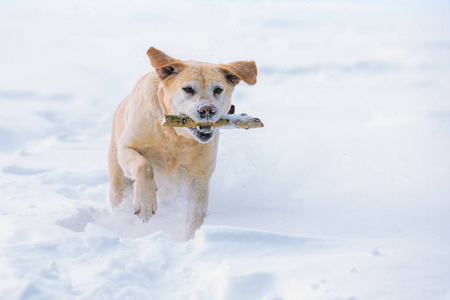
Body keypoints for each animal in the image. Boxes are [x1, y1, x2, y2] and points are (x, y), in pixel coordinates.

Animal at [108, 46, 256, 239]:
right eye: (188, 89)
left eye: (218, 89)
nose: (207, 109)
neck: (175, 136)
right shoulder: (127, 148)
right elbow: (144, 166)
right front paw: (146, 204)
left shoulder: (198, 179)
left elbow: (195, 215)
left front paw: (189, 239)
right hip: (118, 181)